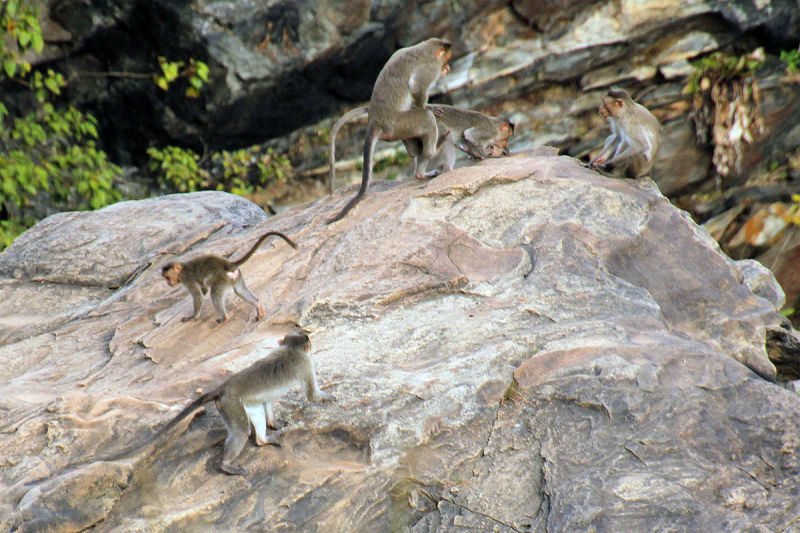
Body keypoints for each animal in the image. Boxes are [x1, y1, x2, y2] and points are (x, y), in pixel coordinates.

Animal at [162, 231, 296, 322]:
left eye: (167, 277)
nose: (168, 283)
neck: (182, 270)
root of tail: (227, 264)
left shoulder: (187, 279)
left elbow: (198, 296)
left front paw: (193, 317)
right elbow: (203, 290)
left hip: (222, 279)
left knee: (215, 295)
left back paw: (224, 318)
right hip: (235, 276)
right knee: (239, 291)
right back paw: (257, 305)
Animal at [324, 36, 450, 221]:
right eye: (446, 61)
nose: (448, 68)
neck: (424, 48)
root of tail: (374, 122)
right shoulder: (431, 67)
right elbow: (416, 88)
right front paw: (428, 106)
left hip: (400, 129)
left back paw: (419, 166)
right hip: (400, 124)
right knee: (426, 119)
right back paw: (432, 151)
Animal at [324, 103, 512, 192]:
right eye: (507, 137)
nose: (504, 145)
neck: (493, 123)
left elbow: (466, 142)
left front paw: (476, 154)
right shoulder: (487, 128)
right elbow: (469, 135)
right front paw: (485, 155)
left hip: (410, 129)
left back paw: (421, 174)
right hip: (428, 124)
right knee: (445, 137)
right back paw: (448, 170)